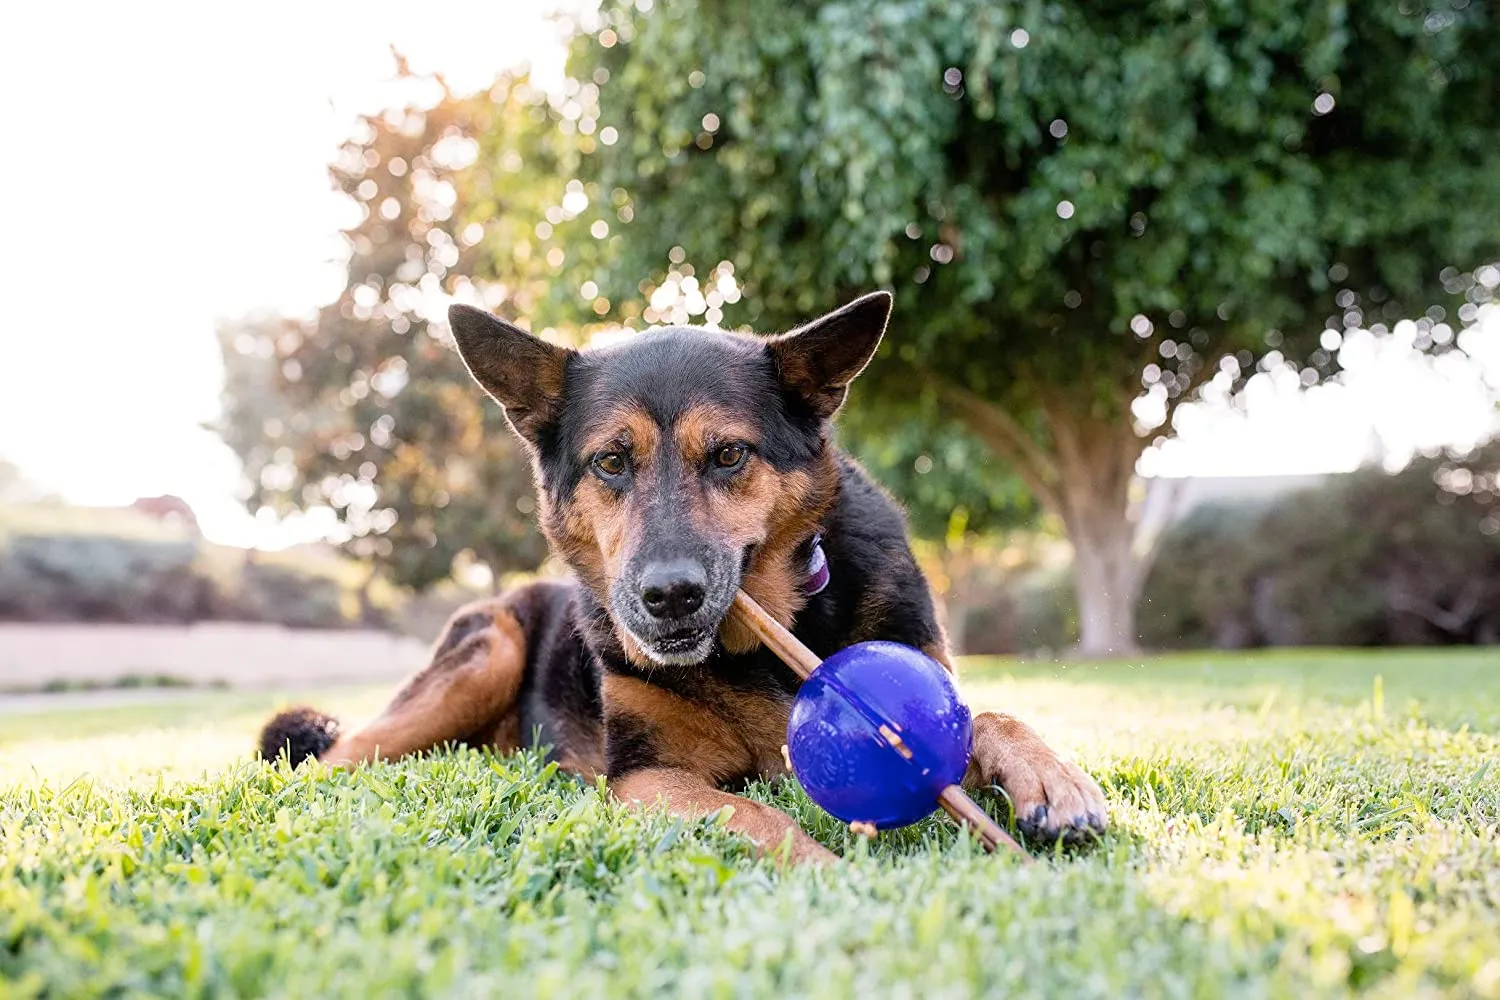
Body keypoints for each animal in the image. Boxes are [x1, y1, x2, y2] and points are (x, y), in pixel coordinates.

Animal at [258, 293, 1110, 863]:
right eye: (611, 461)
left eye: (729, 455)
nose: (669, 596)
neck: (761, 645)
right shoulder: (645, 778)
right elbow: (759, 816)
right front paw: (829, 872)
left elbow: (991, 714)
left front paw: (1051, 778)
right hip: (487, 653)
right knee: (331, 760)